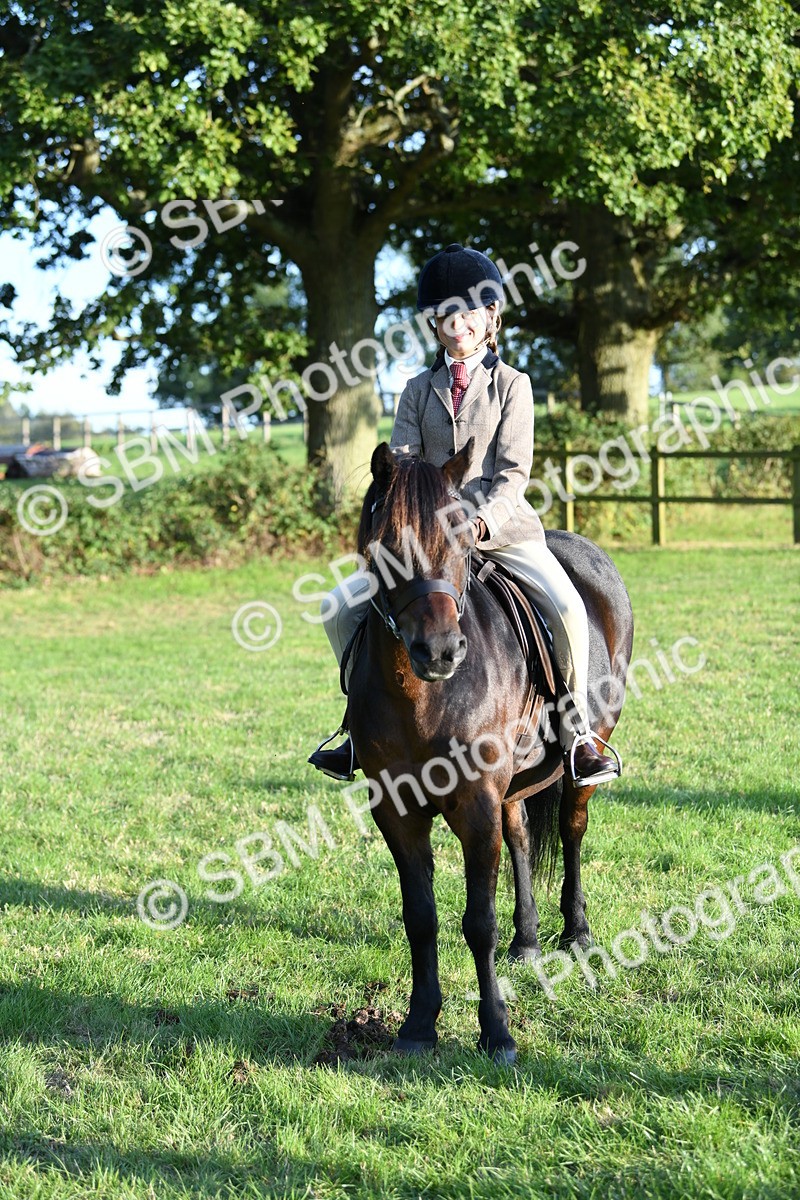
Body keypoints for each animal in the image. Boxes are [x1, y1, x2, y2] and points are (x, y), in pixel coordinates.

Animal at [346, 440, 634, 1063]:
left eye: (460, 540)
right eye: (387, 542)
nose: (440, 651)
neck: (422, 696)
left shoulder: (476, 804)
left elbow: (478, 921)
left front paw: (496, 1031)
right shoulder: (397, 810)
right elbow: (421, 917)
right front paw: (418, 1025)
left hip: (587, 754)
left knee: (572, 829)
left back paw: (576, 932)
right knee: (522, 832)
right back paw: (526, 940)